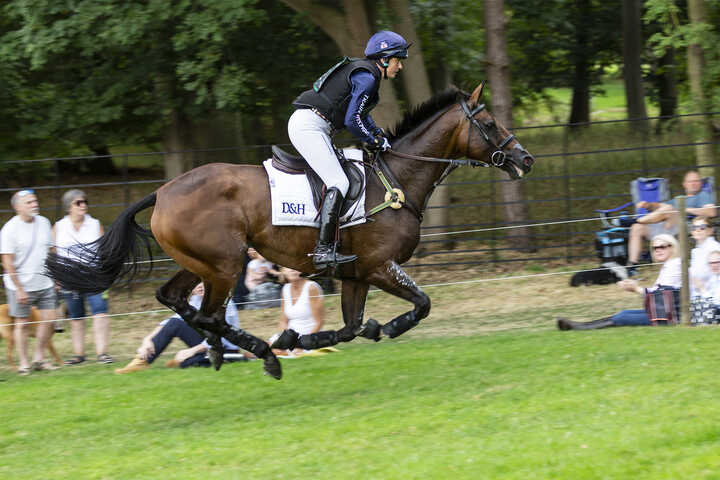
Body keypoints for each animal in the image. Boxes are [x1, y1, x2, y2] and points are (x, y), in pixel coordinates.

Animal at [45, 84, 536, 380]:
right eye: (488, 123)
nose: (525, 159)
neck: (396, 178)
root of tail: (162, 192)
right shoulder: (380, 266)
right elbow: (421, 305)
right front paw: (386, 328)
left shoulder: (356, 274)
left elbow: (351, 328)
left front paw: (302, 338)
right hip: (226, 264)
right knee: (208, 312)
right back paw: (255, 352)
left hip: (201, 262)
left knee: (178, 300)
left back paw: (224, 350)